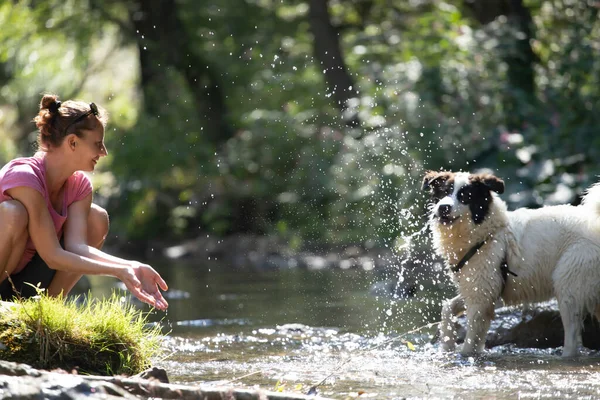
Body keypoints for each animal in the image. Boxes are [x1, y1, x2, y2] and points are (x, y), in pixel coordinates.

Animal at [422, 170, 600, 358]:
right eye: (443, 192)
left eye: (465, 196)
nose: (443, 207)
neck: (486, 233)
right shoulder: (478, 288)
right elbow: (448, 307)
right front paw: (446, 345)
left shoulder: (481, 297)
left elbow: (470, 342)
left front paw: (463, 356)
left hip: (568, 285)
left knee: (572, 341)